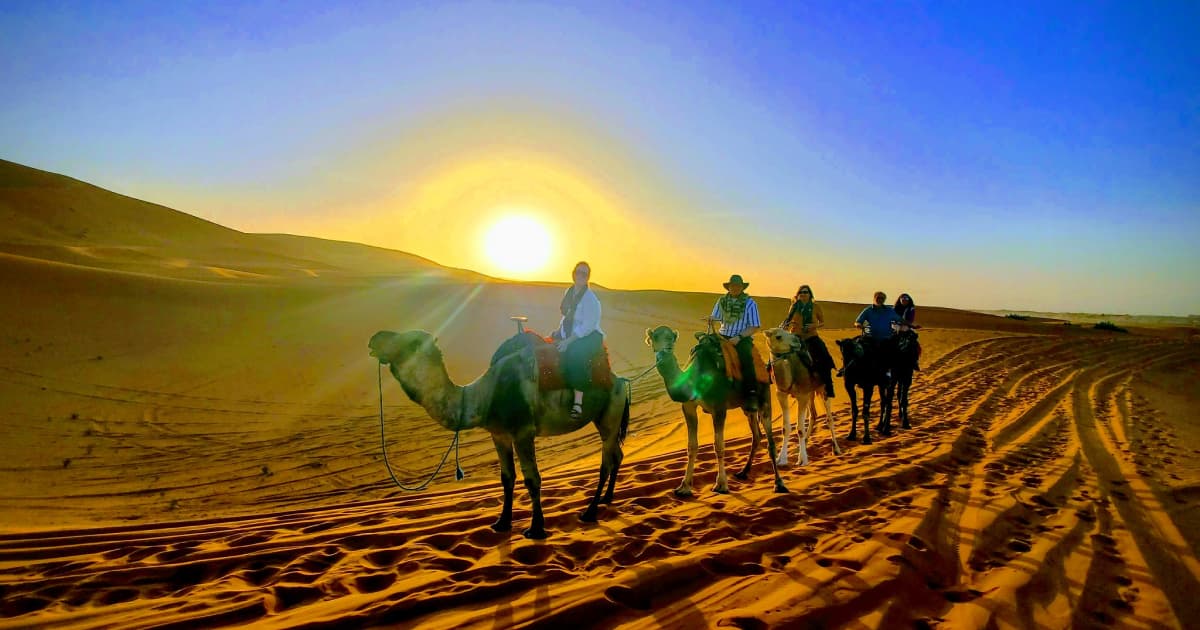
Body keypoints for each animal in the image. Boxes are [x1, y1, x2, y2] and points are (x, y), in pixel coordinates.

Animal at [364, 326, 633, 537]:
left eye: (411, 341)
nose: (375, 338)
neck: (484, 395)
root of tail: (620, 380)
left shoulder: (523, 431)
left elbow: (532, 479)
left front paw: (536, 529)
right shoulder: (499, 434)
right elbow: (507, 478)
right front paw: (502, 523)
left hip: (610, 414)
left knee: (605, 462)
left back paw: (590, 512)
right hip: (604, 418)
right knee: (616, 455)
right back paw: (607, 499)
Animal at [648, 324, 787, 496]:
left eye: (671, 339)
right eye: (654, 338)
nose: (663, 353)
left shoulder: (719, 407)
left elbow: (719, 446)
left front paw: (721, 485)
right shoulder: (688, 406)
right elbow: (692, 446)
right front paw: (684, 486)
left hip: (764, 397)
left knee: (770, 441)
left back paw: (779, 483)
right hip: (747, 407)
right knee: (756, 435)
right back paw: (743, 472)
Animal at [763, 326, 840, 463]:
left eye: (787, 331)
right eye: (778, 336)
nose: (797, 341)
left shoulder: (802, 395)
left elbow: (799, 429)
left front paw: (802, 459)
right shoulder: (781, 394)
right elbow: (786, 428)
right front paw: (781, 458)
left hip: (823, 388)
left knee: (829, 418)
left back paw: (836, 449)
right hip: (810, 392)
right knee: (813, 415)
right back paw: (805, 442)